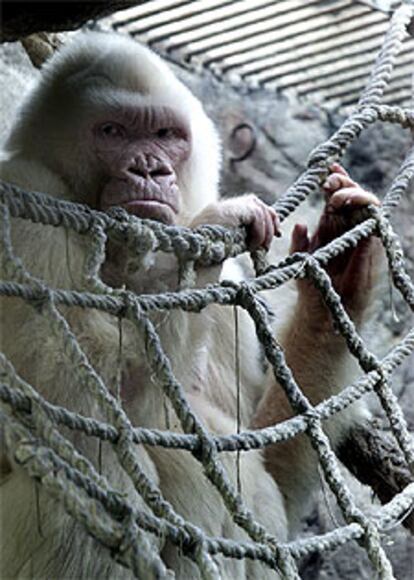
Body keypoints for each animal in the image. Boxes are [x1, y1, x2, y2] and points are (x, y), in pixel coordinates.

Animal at [0, 32, 382, 580]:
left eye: (165, 134)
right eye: (113, 131)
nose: (150, 167)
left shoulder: (229, 301)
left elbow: (264, 455)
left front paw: (334, 285)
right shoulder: (25, 203)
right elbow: (77, 393)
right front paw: (215, 221)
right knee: (85, 466)